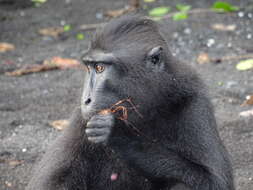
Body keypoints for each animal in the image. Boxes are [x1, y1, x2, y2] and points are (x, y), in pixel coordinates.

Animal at [26, 15, 234, 190]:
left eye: (100, 68)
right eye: (89, 68)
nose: (86, 100)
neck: (149, 107)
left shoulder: (194, 102)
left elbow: (214, 180)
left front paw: (119, 134)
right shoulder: (81, 119)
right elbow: (53, 181)